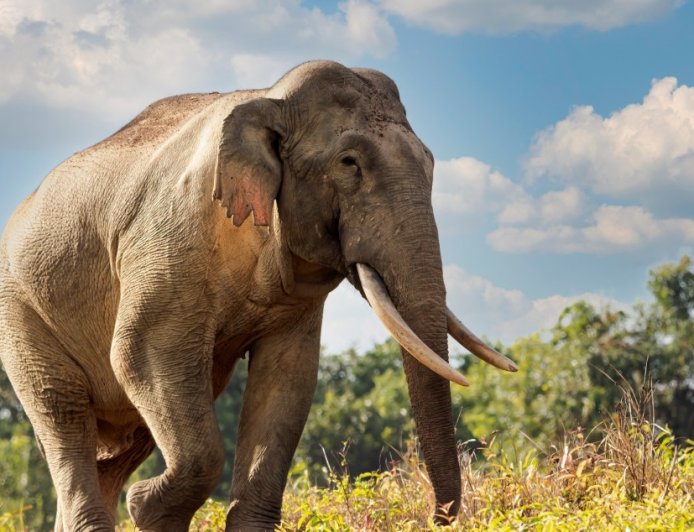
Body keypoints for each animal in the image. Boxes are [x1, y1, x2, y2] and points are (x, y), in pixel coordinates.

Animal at [0, 60, 517, 531]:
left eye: (430, 163)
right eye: (349, 163)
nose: (435, 517)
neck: (267, 97)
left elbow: (288, 377)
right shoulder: (166, 246)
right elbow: (139, 353)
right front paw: (145, 505)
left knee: (122, 444)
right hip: (21, 314)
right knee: (63, 411)